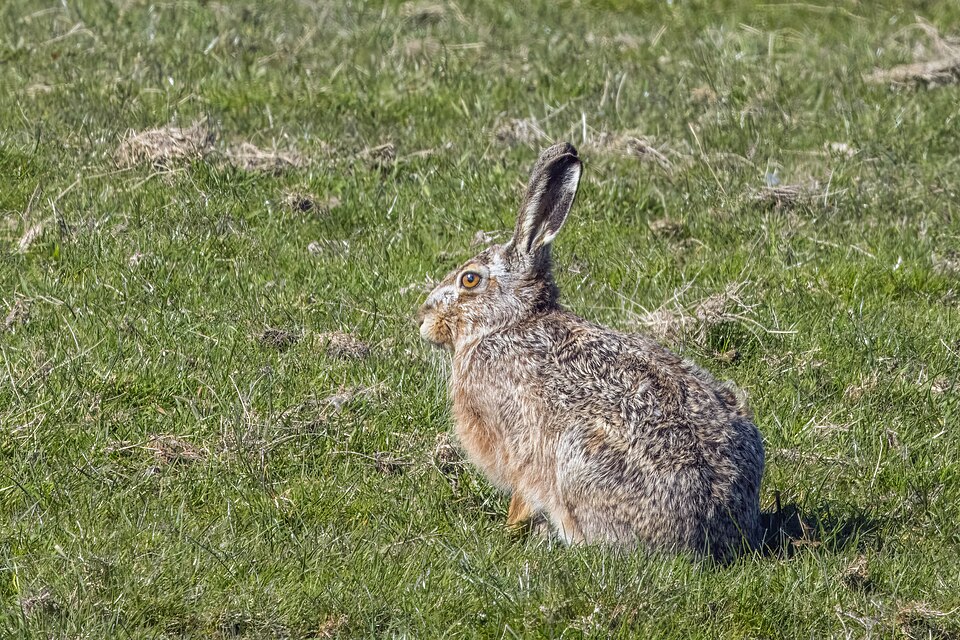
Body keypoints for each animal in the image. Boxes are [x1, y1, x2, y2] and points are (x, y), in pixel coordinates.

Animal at [417, 142, 764, 561]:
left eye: (469, 280)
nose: (423, 319)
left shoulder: (515, 437)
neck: (508, 323)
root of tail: (716, 529)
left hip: (578, 458)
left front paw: (510, 528)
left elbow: (522, 488)